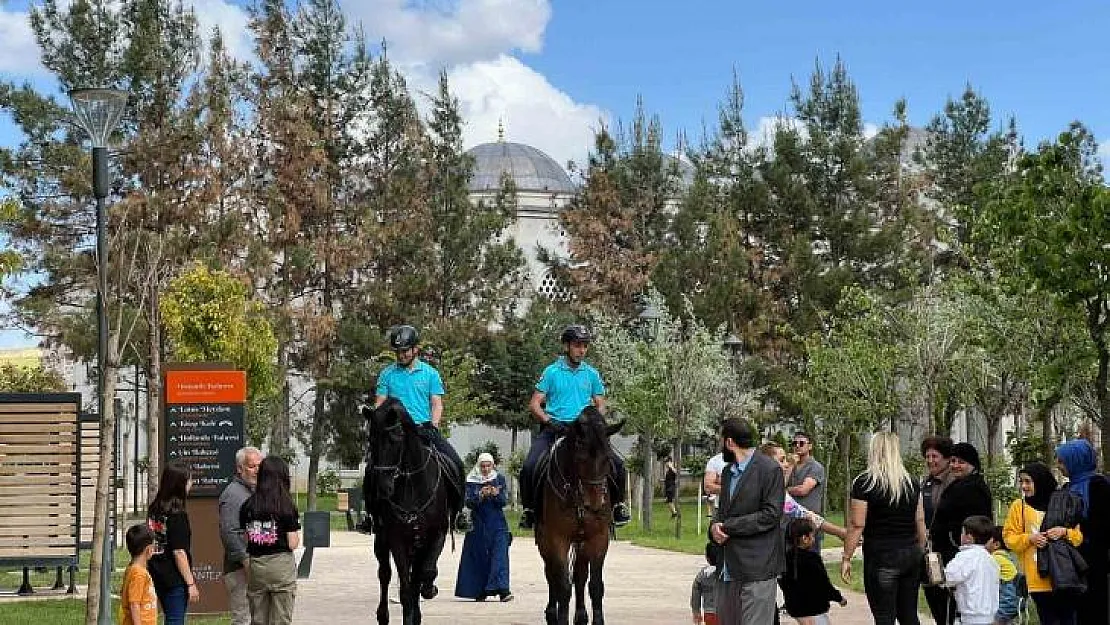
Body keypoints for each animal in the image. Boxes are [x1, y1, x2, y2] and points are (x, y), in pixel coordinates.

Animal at [364, 401, 450, 625]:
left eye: (395, 440)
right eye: (371, 440)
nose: (383, 488)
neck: (412, 485)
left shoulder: (437, 534)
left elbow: (425, 573)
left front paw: (429, 589)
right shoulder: (397, 540)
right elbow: (405, 588)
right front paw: (409, 615)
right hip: (382, 540)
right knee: (385, 574)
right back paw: (383, 615)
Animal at [532, 406, 621, 625]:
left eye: (608, 459)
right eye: (581, 458)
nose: (595, 504)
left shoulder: (598, 538)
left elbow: (595, 585)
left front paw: (597, 620)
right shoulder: (558, 539)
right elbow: (563, 585)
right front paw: (560, 618)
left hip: (581, 542)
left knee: (580, 576)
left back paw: (581, 616)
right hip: (545, 541)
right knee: (551, 574)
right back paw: (552, 613)